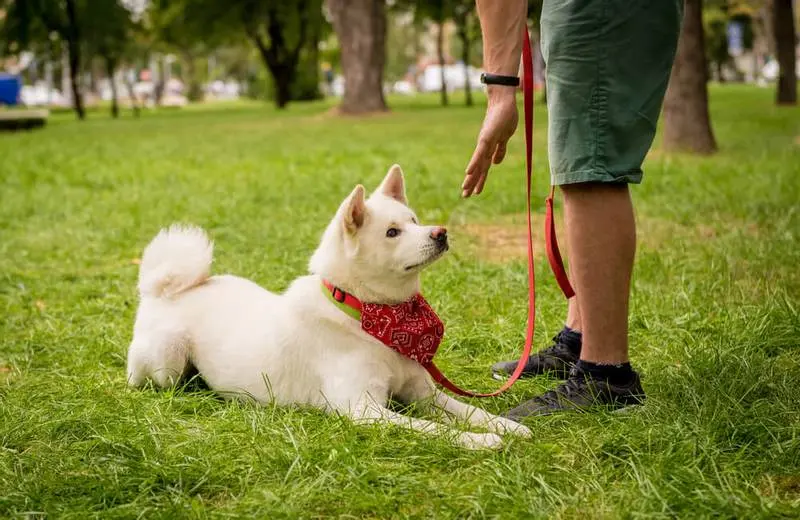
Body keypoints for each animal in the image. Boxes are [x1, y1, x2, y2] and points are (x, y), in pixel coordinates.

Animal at [128, 166, 532, 446]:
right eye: (392, 232)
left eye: (414, 220)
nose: (441, 232)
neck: (367, 314)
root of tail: (162, 291)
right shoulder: (364, 411)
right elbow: (434, 429)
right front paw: (480, 440)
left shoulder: (423, 393)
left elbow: (470, 409)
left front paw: (508, 425)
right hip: (167, 361)